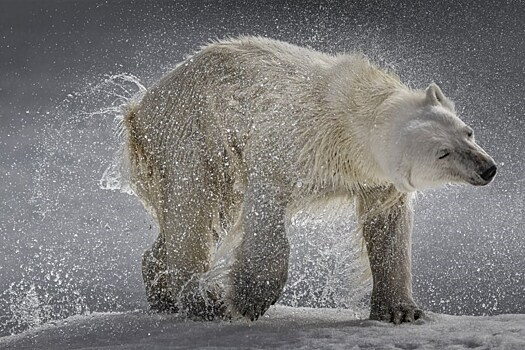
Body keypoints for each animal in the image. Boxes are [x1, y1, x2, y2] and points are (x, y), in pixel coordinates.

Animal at [118, 37, 496, 324]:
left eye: (467, 132)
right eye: (443, 153)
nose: (488, 168)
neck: (353, 112)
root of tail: (140, 105)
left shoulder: (373, 176)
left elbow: (387, 229)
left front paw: (400, 310)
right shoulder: (295, 139)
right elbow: (266, 202)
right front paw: (248, 298)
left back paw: (163, 292)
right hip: (194, 133)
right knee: (194, 207)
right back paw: (203, 301)